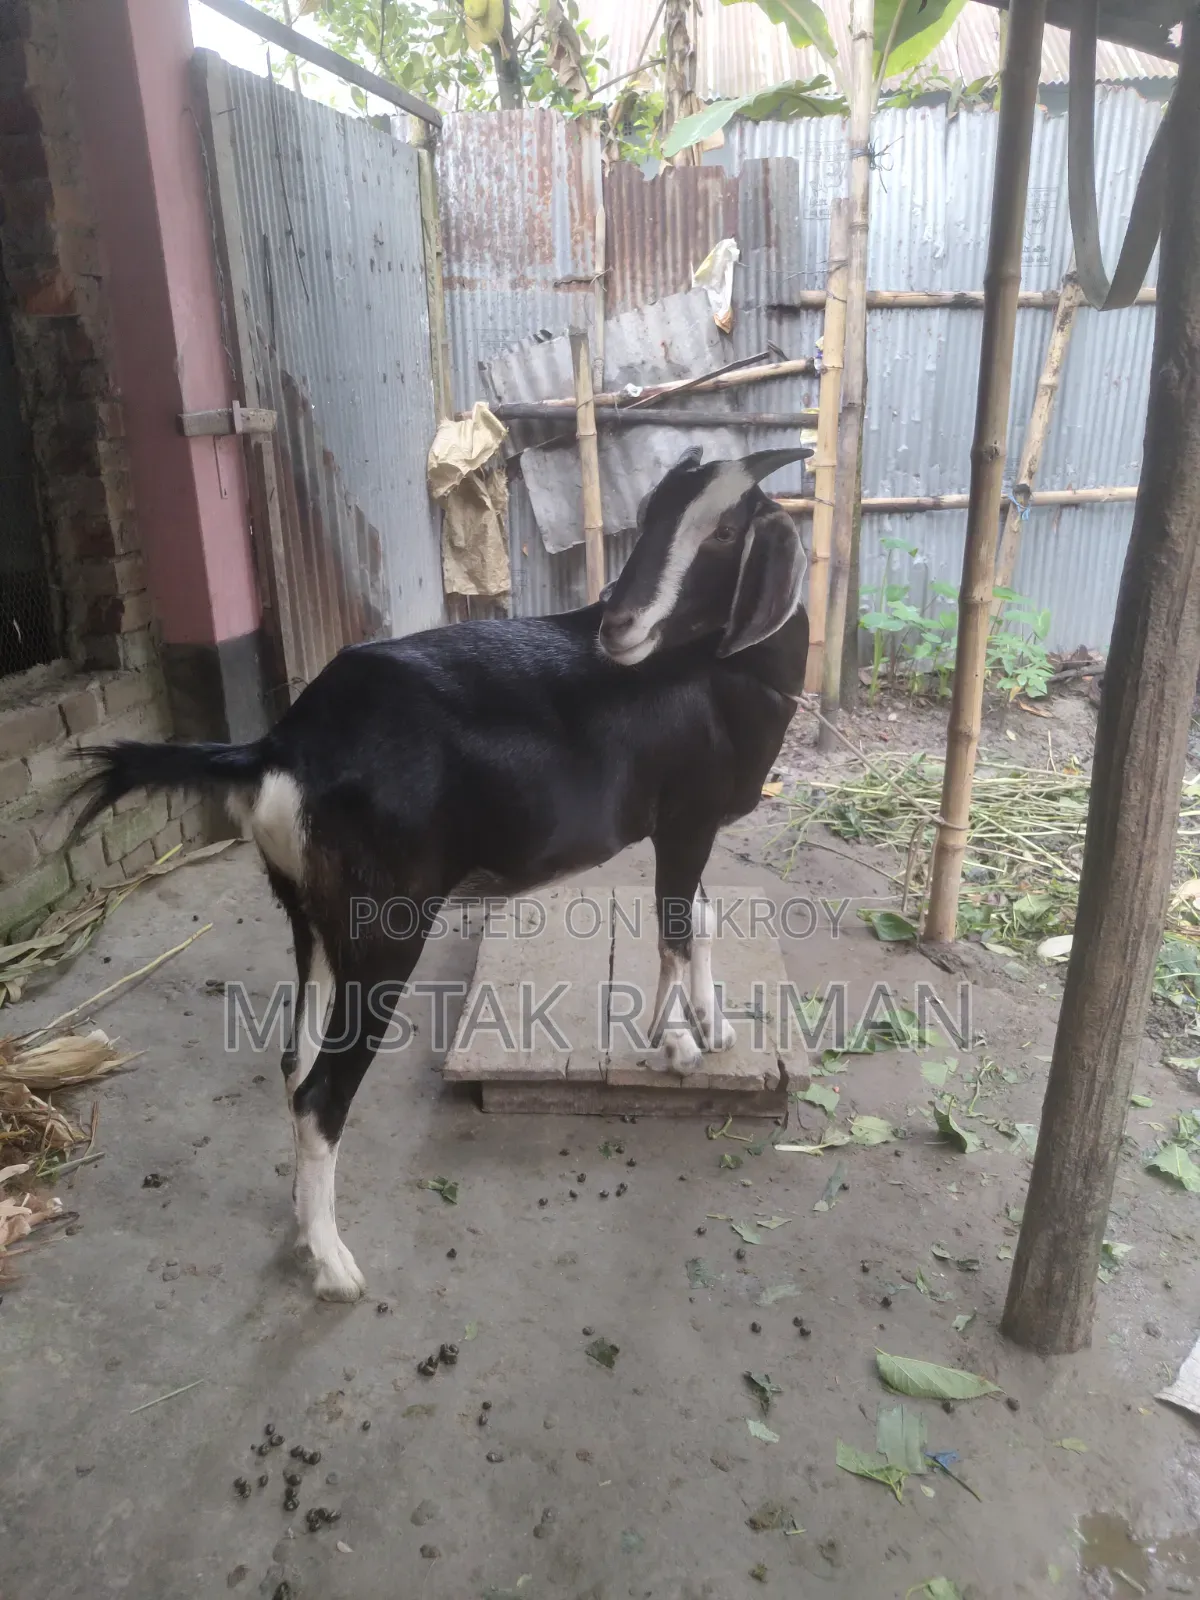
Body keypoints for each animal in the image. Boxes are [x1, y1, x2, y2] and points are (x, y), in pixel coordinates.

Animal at [70, 444, 811, 1301]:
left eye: (724, 530)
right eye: (655, 514)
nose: (618, 624)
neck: (726, 676)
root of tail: (282, 747)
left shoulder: (688, 828)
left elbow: (699, 920)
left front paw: (710, 1028)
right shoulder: (684, 817)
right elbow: (674, 930)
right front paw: (674, 1045)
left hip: (311, 913)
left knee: (293, 1062)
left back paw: (302, 1229)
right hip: (385, 924)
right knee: (322, 1091)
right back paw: (335, 1266)